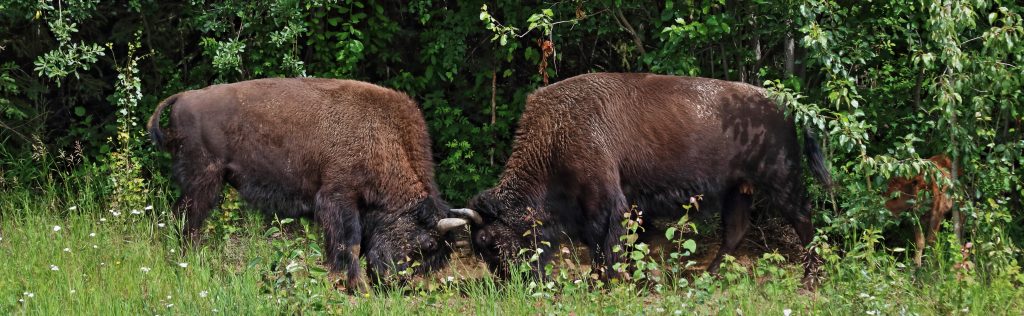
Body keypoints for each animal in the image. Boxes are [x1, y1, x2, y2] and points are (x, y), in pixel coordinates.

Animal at [148, 77, 468, 288]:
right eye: (427, 244)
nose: (397, 283)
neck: (383, 136)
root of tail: (182, 97)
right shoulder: (339, 198)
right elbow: (350, 244)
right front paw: (356, 286)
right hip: (204, 181)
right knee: (188, 221)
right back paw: (187, 263)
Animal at [446, 72, 831, 286]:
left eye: (494, 243)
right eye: (479, 250)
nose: (512, 284)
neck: (558, 134)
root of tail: (786, 105)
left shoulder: (606, 204)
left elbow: (605, 246)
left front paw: (603, 282)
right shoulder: (630, 205)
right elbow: (626, 245)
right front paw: (635, 278)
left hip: (781, 180)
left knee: (804, 221)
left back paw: (810, 280)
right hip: (738, 189)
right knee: (736, 230)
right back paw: (706, 276)